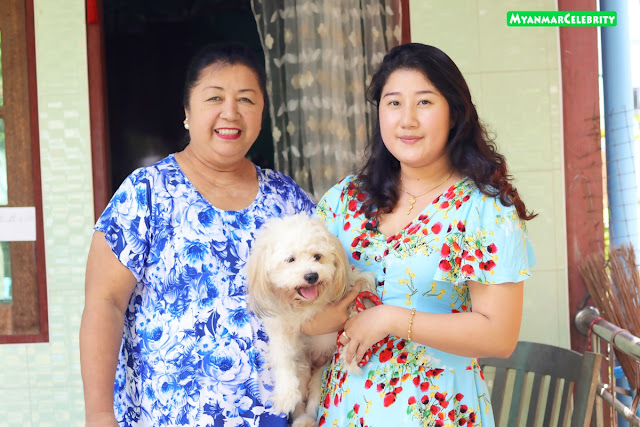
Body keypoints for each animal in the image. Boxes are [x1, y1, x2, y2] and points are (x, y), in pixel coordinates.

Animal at [246, 213, 376, 426]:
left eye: (317, 256)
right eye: (290, 259)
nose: (311, 275)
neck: (308, 305)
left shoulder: (354, 287)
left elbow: (357, 315)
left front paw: (352, 356)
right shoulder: (281, 329)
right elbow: (283, 357)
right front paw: (286, 395)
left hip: (321, 374)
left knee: (314, 398)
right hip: (303, 366)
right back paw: (301, 419)